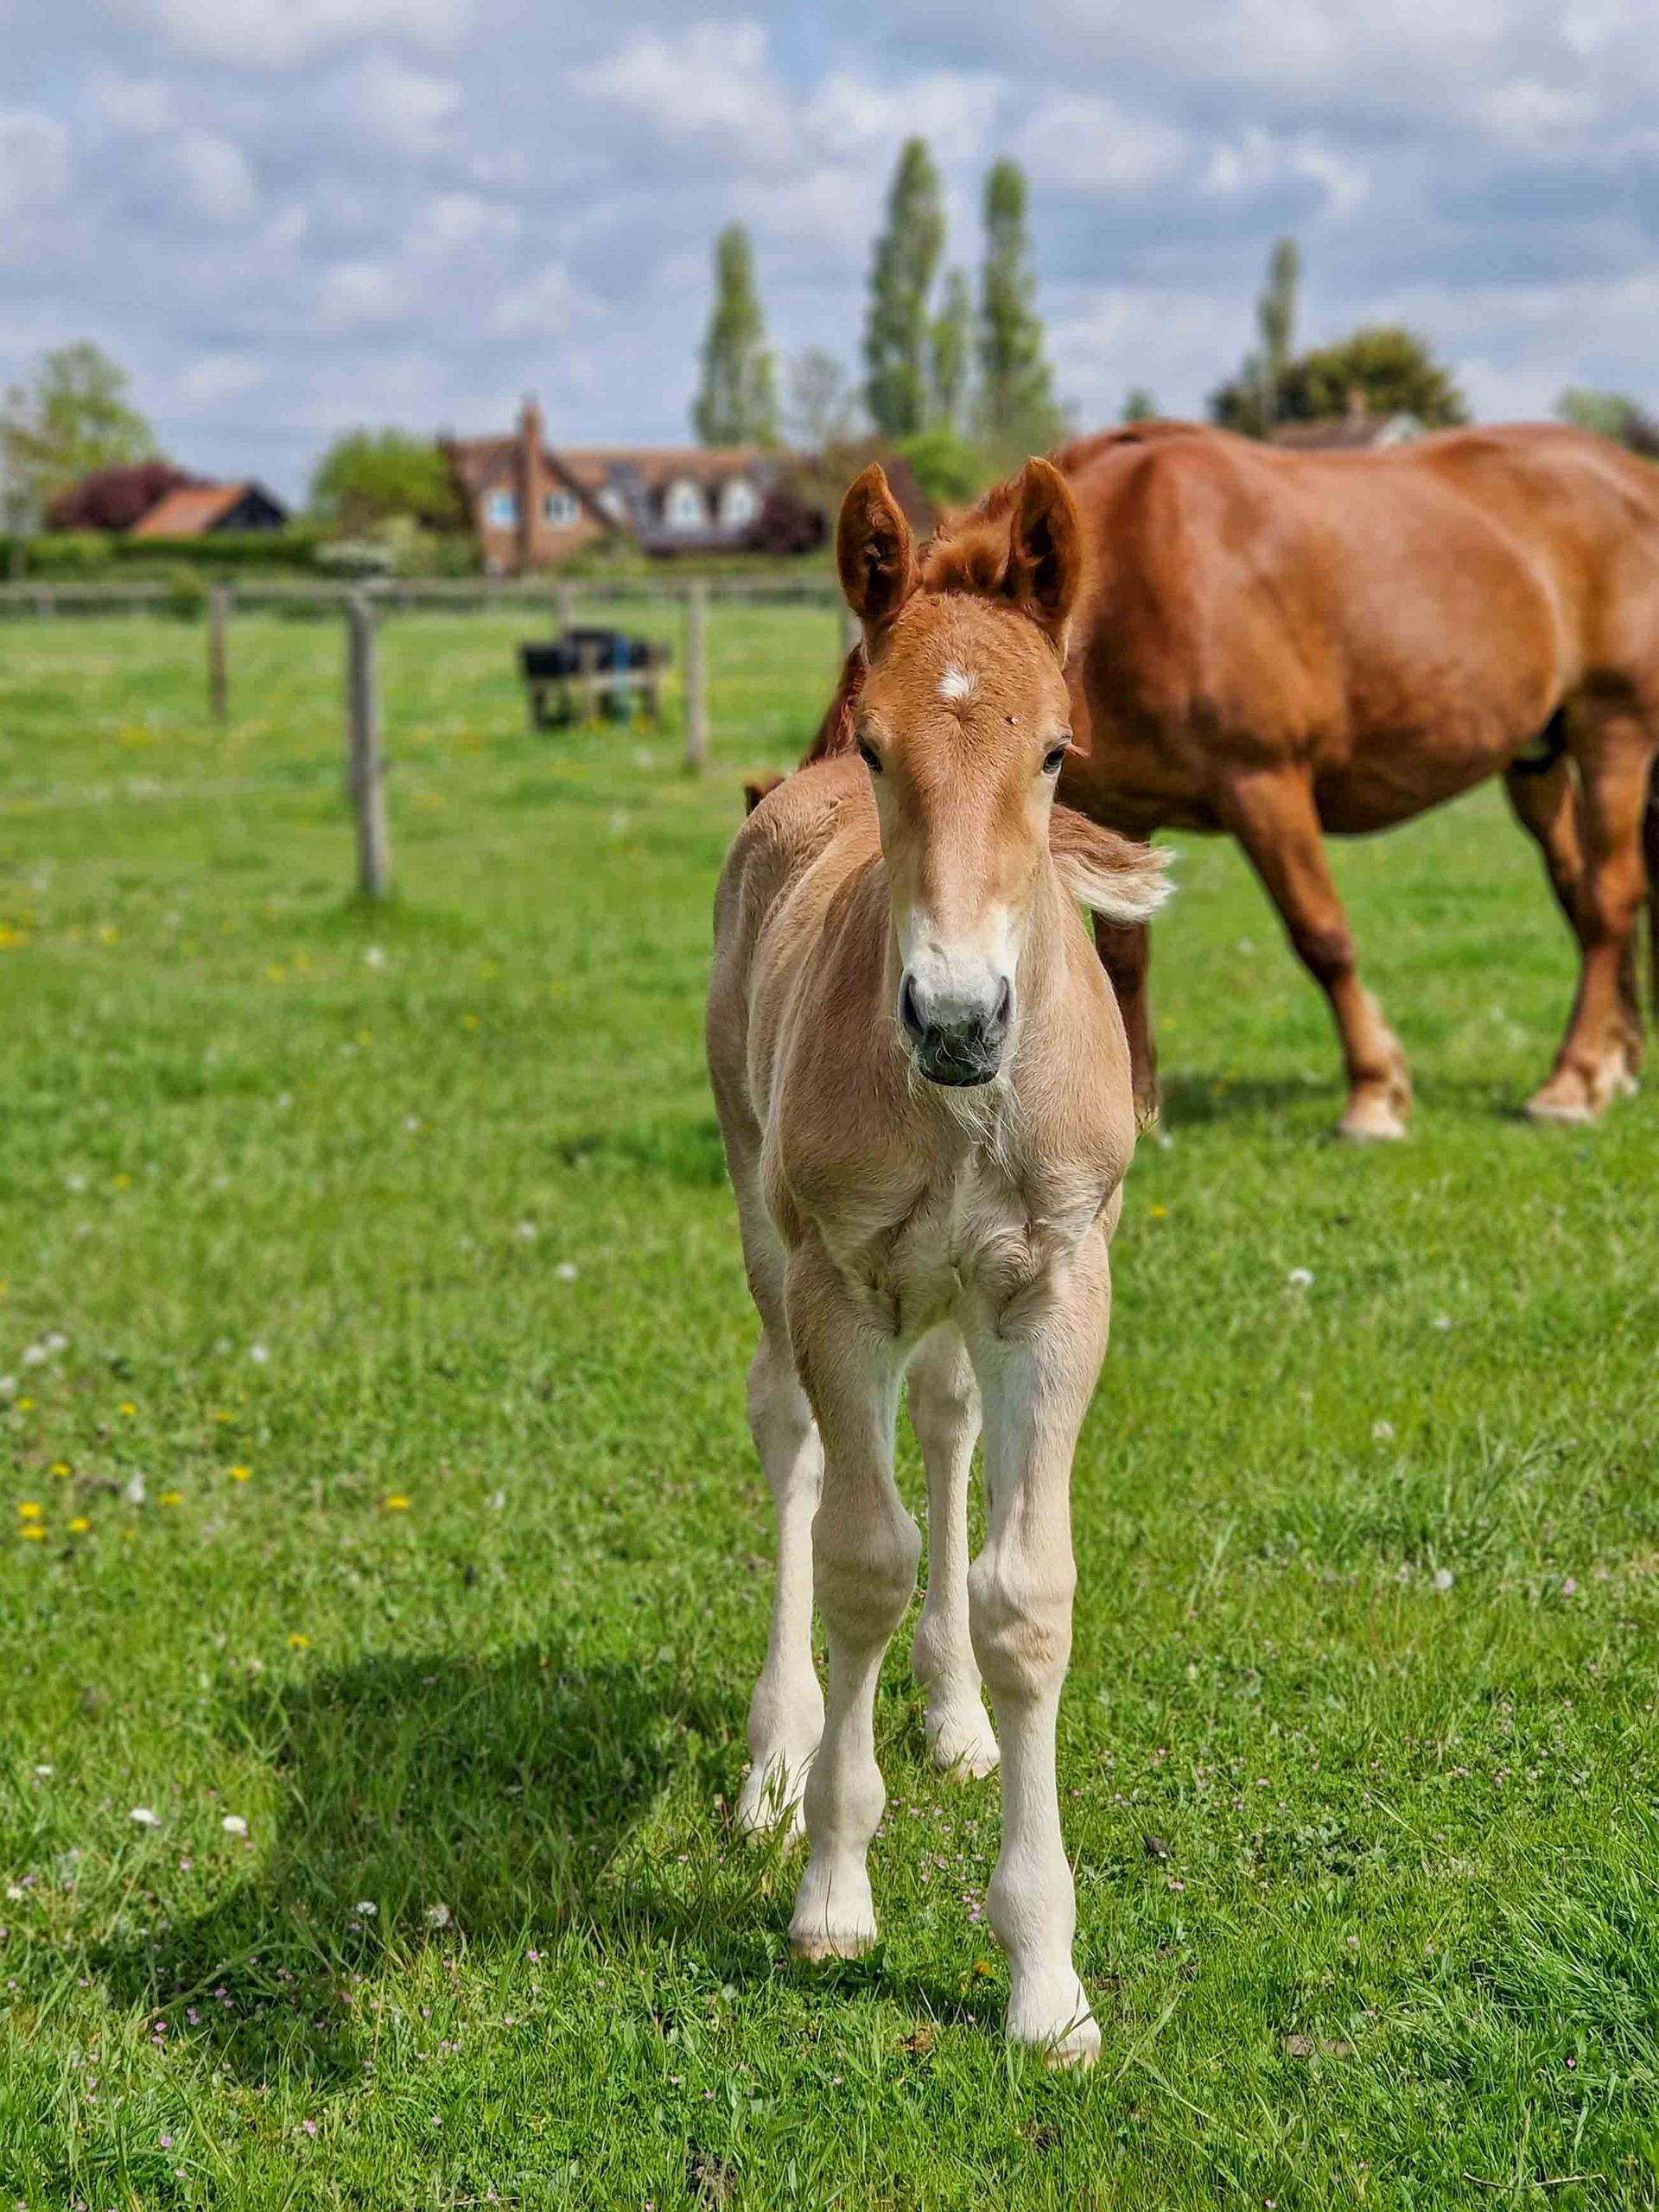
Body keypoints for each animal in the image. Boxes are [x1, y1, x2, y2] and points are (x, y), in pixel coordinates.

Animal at [707, 457, 1169, 2063]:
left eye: (1056, 753)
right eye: (879, 743)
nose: (958, 1019)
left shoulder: (1058, 1289)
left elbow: (1026, 1596)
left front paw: (1045, 1981)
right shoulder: (843, 1290)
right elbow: (862, 1560)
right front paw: (834, 1891)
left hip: (964, 1301)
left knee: (952, 1426)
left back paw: (954, 1717)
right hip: (762, 1223)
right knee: (787, 1439)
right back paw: (774, 1765)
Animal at [811, 421, 1659, 1141]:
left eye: (1050, 752)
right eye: (872, 750)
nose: (952, 1023)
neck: (1143, 577)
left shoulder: (1266, 786)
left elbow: (1322, 935)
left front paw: (1373, 1093)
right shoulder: (1121, 810)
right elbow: (1126, 962)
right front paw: (1136, 1106)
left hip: (1614, 735)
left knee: (1609, 898)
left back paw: (1571, 1081)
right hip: (1537, 757)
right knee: (1583, 893)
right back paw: (1613, 1064)